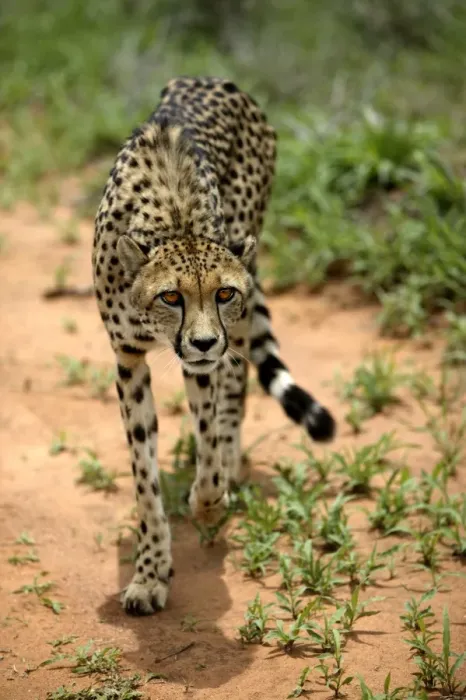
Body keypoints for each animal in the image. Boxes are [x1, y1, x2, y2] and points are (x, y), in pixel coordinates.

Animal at [92, 77, 336, 616]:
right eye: (171, 296)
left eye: (223, 293)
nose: (203, 341)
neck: (174, 221)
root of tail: (207, 79)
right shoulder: (127, 358)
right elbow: (145, 477)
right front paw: (149, 574)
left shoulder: (205, 359)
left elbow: (206, 441)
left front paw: (208, 502)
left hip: (241, 304)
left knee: (235, 387)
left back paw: (229, 464)